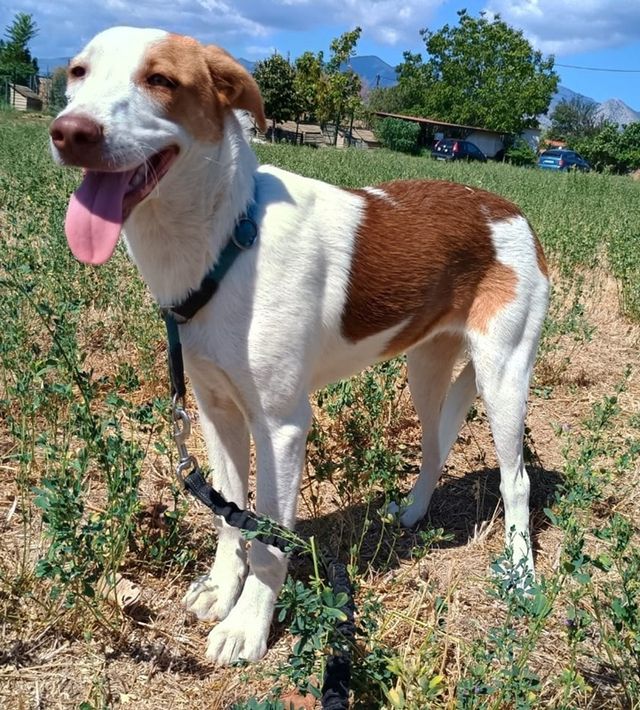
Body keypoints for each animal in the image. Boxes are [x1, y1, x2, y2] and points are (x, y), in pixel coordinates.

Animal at [50, 26, 550, 666]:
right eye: (78, 73)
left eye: (160, 80)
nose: (70, 132)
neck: (228, 238)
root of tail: (513, 213)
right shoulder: (215, 413)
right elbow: (231, 516)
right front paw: (222, 589)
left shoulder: (282, 426)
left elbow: (268, 539)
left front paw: (247, 628)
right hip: (426, 364)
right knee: (436, 445)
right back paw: (414, 514)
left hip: (503, 374)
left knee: (516, 480)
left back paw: (522, 575)